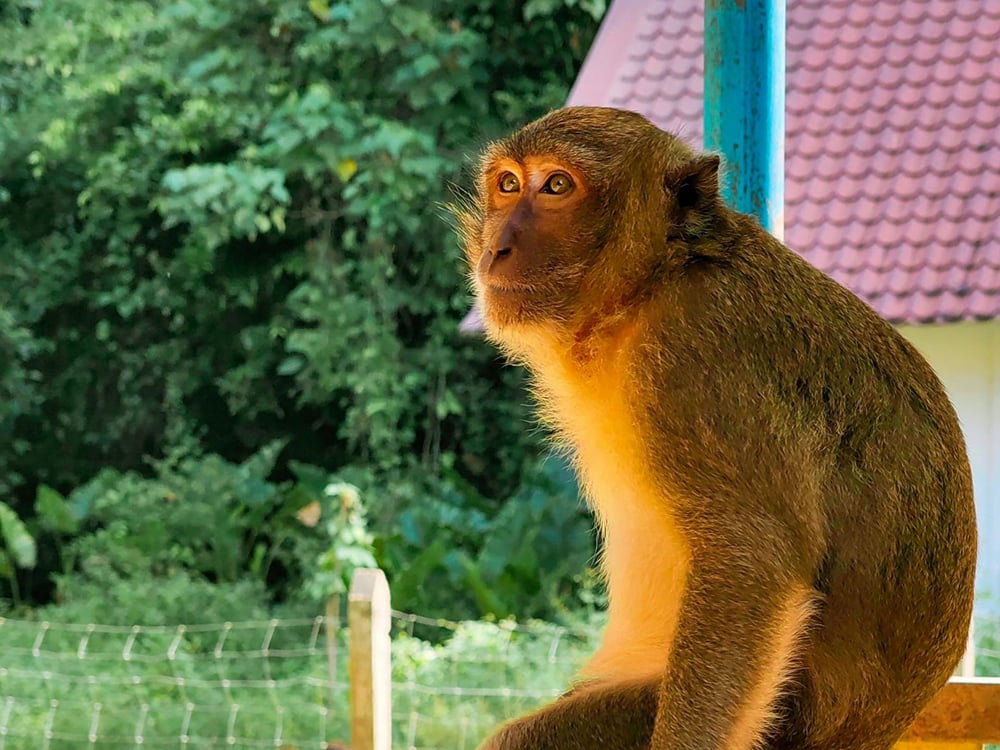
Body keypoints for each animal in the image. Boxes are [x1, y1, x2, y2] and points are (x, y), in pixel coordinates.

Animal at [456, 106, 977, 750]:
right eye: (507, 184)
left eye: (556, 186)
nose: (497, 248)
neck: (651, 285)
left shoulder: (696, 358)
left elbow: (752, 558)